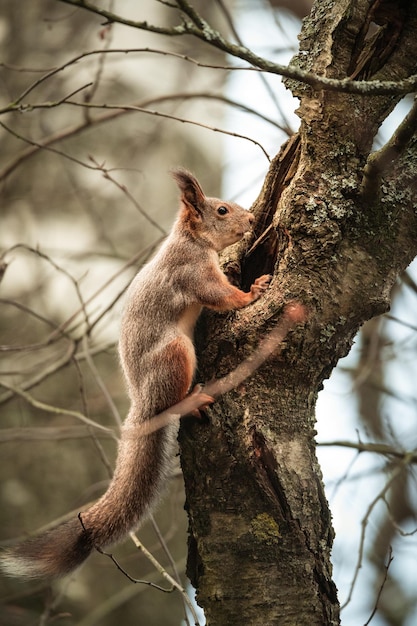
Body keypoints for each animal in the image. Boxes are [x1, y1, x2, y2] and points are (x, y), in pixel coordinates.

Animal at [0, 169, 272, 576]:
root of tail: (143, 403)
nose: (253, 220)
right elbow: (219, 295)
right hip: (174, 355)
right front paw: (253, 291)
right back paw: (191, 400)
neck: (192, 240)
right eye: (222, 210)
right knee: (171, 406)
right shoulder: (192, 272)